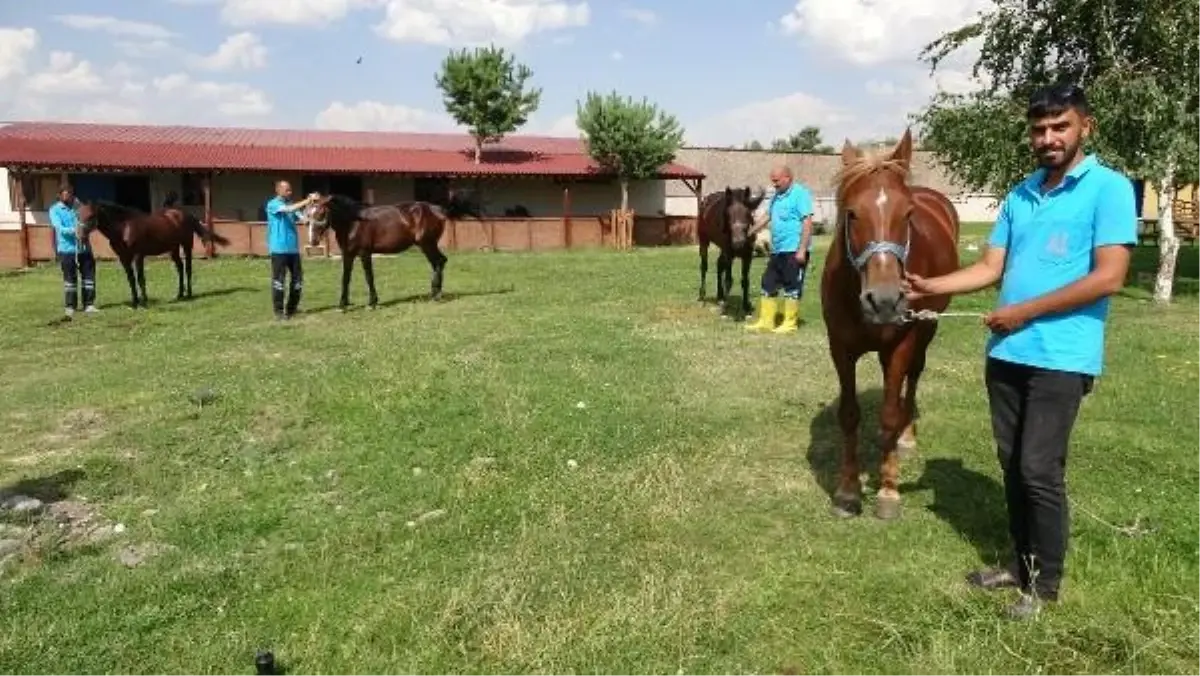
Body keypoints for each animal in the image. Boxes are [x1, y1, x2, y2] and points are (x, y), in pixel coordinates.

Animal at [75, 199, 231, 307]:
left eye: (91, 216)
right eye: (78, 216)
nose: (79, 236)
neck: (124, 228)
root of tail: (185, 214)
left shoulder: (138, 256)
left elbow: (140, 278)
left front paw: (144, 301)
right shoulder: (124, 258)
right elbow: (131, 279)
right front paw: (135, 302)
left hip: (186, 246)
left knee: (188, 268)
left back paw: (189, 294)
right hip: (173, 249)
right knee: (180, 268)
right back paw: (179, 294)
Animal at [302, 189, 480, 307]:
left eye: (322, 213)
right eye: (308, 214)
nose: (313, 241)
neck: (353, 222)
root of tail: (438, 209)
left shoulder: (364, 253)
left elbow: (369, 277)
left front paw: (372, 302)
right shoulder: (348, 254)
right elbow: (345, 278)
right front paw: (343, 304)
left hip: (427, 244)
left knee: (439, 262)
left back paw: (436, 294)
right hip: (427, 245)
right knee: (438, 262)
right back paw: (435, 293)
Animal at [696, 186, 768, 319]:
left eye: (748, 214)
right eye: (728, 215)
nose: (738, 243)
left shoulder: (747, 255)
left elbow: (745, 280)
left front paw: (746, 306)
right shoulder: (729, 253)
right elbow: (729, 280)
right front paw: (725, 309)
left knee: (719, 264)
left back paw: (720, 296)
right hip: (704, 240)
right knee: (704, 266)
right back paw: (702, 296)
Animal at [820, 129, 960, 521]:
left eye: (908, 213)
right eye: (852, 214)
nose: (884, 300)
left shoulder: (901, 344)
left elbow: (888, 415)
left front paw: (888, 491)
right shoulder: (841, 348)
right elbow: (849, 416)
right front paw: (848, 490)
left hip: (925, 331)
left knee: (912, 380)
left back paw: (906, 438)